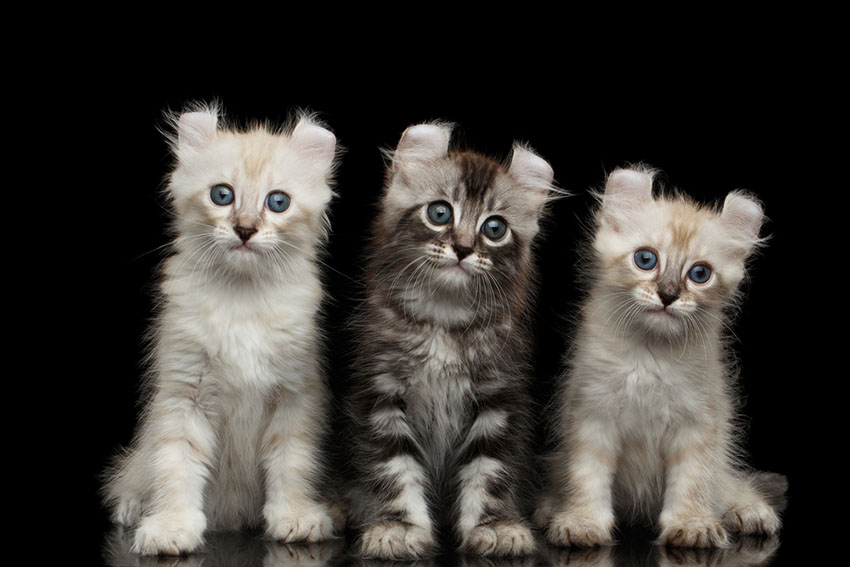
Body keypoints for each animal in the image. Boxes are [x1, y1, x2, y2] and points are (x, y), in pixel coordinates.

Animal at [99, 102, 338, 556]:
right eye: (222, 195)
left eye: (277, 202)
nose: (245, 229)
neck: (241, 301)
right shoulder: (183, 397)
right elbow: (176, 467)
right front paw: (171, 527)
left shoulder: (294, 398)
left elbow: (291, 464)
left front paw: (295, 516)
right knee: (133, 476)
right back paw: (133, 508)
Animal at [344, 121, 556, 560]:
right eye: (440, 212)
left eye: (494, 228)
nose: (462, 248)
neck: (444, 319)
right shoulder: (380, 394)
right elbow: (394, 469)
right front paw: (398, 527)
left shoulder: (499, 399)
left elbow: (490, 471)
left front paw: (496, 526)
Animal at [540, 169, 784, 552]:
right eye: (646, 259)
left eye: (700, 274)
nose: (668, 296)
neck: (650, 355)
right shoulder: (592, 416)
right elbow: (586, 478)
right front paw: (582, 522)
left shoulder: (698, 424)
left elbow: (692, 482)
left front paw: (692, 525)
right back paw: (549, 506)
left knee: (728, 484)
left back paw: (750, 512)